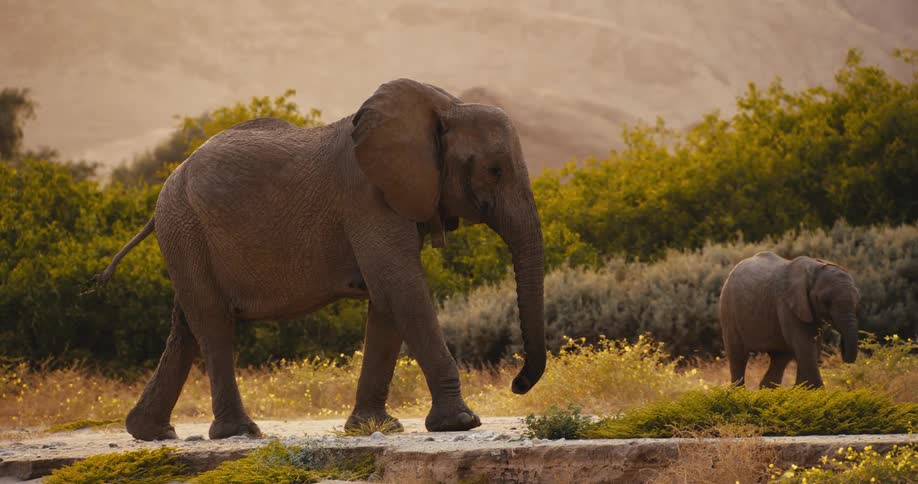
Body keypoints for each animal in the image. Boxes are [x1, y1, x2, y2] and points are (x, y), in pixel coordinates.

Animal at [96, 79, 546, 441]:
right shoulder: (367, 197)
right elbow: (401, 288)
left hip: (185, 234)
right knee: (213, 322)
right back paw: (238, 432)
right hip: (185, 226)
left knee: (187, 325)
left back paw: (151, 432)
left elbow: (387, 300)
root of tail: (167, 184)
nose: (517, 383)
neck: (443, 107)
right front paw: (462, 423)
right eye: (494, 170)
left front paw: (375, 427)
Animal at [718, 251, 859, 389]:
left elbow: (812, 346)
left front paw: (801, 391)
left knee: (780, 358)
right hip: (728, 310)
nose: (841, 345)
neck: (815, 266)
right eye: (824, 301)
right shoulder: (787, 303)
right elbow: (804, 344)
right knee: (738, 355)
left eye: (857, 300)